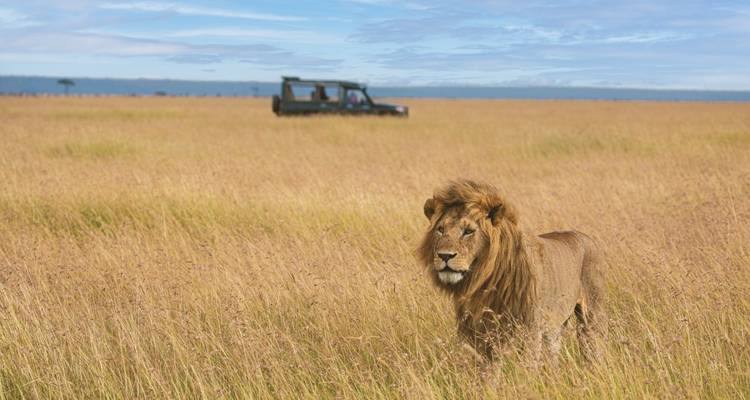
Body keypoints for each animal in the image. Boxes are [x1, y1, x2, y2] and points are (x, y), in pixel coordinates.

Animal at [417, 179, 605, 363]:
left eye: (468, 231)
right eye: (440, 229)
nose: (444, 255)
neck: (484, 281)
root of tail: (587, 238)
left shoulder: (530, 330)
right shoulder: (481, 331)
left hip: (590, 318)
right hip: (555, 325)